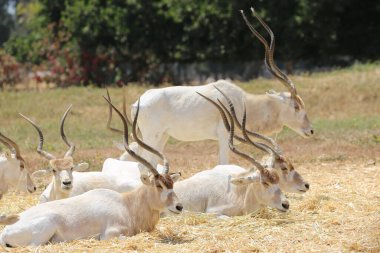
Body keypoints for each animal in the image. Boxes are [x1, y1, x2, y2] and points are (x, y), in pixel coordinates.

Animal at [0, 97, 183, 247]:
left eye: (171, 184)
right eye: (158, 185)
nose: (179, 206)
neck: (126, 204)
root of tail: (5, 231)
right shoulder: (109, 234)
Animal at [122, 7, 314, 166]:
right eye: (296, 106)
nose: (311, 130)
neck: (245, 102)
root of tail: (137, 103)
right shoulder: (224, 137)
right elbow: (223, 165)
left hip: (162, 137)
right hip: (151, 137)